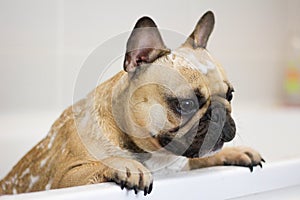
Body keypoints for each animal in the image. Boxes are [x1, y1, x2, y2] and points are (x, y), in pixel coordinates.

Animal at [0, 10, 264, 195]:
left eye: (230, 95)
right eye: (187, 104)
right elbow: (94, 165)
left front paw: (236, 152)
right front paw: (127, 166)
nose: (220, 113)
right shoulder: (64, 178)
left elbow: (203, 158)